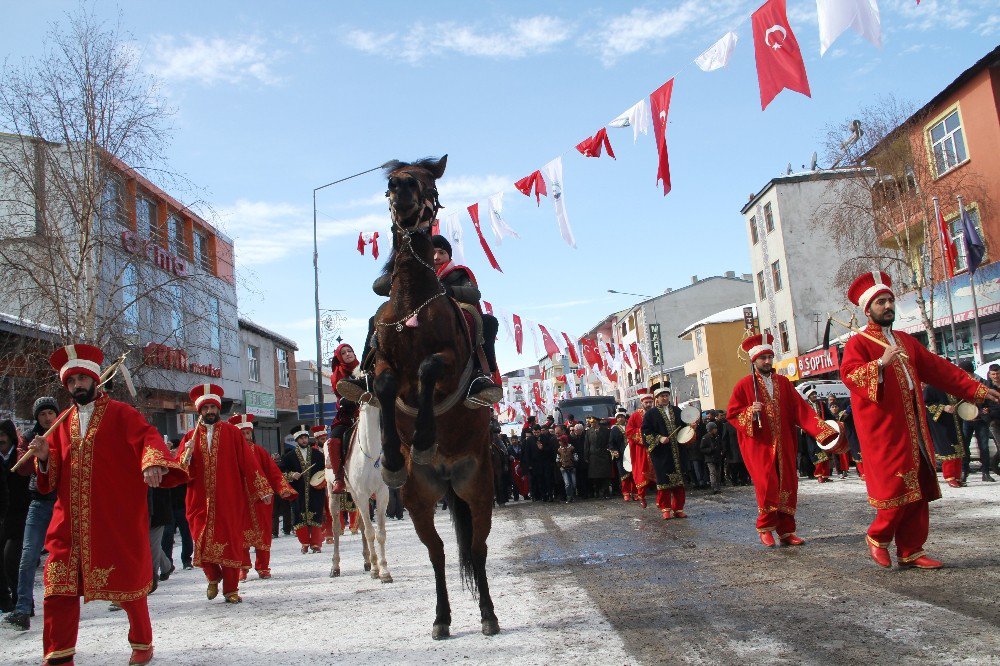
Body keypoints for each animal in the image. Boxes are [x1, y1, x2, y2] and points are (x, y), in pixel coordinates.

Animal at [326, 400, 392, 580]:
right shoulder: (361, 494)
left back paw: (367, 561)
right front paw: (377, 570)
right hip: (333, 494)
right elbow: (370, 532)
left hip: (358, 497)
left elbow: (380, 533)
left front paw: (383, 570)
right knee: (336, 527)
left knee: (362, 524)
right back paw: (335, 566)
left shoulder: (382, 494)